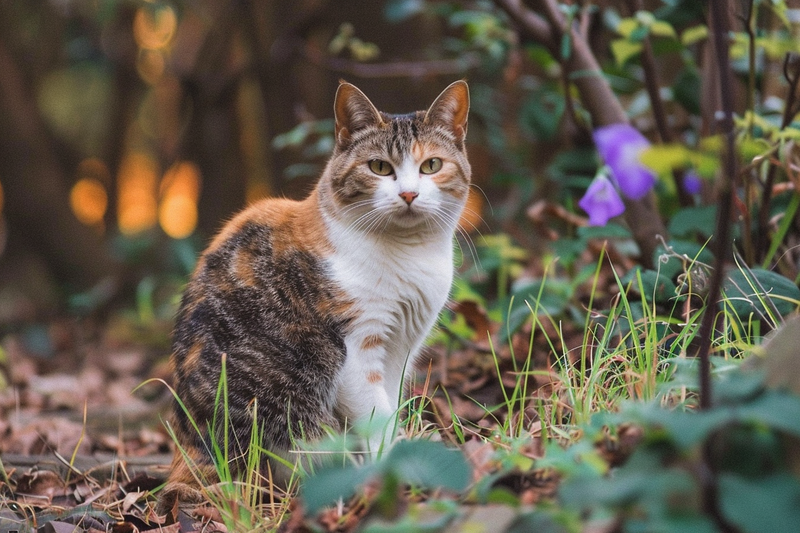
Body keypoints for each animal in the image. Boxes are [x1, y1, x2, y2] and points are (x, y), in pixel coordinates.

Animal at [158, 80, 468, 512]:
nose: (408, 194)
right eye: (379, 167)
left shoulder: (401, 347)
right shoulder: (357, 349)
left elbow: (390, 406)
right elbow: (378, 416)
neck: (408, 255)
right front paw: (394, 467)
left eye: (431, 166)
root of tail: (187, 454)